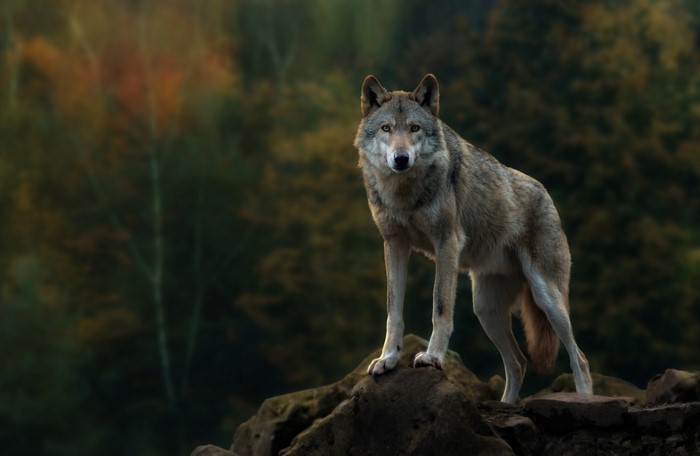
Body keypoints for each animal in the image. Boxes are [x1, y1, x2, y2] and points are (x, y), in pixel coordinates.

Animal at [353, 74, 593, 403]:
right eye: (386, 128)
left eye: (414, 128)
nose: (401, 159)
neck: (404, 194)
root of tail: (546, 195)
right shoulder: (394, 244)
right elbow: (394, 311)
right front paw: (388, 359)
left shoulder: (447, 243)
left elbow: (440, 307)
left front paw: (432, 357)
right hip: (485, 308)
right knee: (518, 362)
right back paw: (506, 404)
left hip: (547, 298)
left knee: (579, 358)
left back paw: (585, 399)